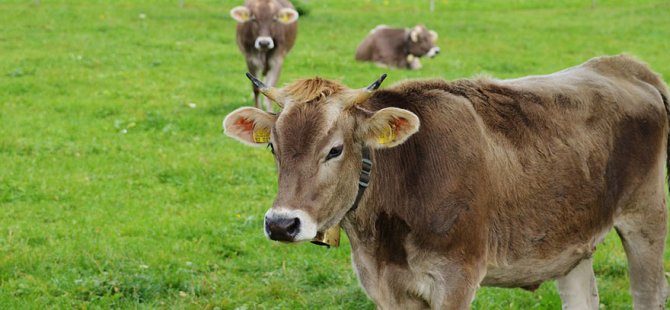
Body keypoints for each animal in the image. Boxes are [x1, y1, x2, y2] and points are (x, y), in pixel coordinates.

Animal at [224, 54, 670, 308]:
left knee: (648, 293)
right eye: (274, 148)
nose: (282, 224)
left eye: (335, 150)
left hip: (646, 218)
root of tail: (622, 63)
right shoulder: (384, 285)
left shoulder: (457, 278)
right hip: (570, 240)